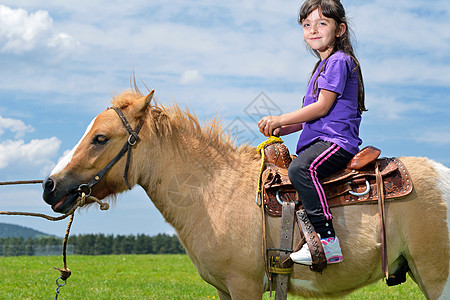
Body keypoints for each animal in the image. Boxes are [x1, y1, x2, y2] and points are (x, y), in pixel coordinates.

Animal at [42, 89, 450, 300]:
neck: (213, 193)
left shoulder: (245, 286)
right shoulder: (225, 290)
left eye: (100, 138)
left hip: (436, 277)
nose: (50, 186)